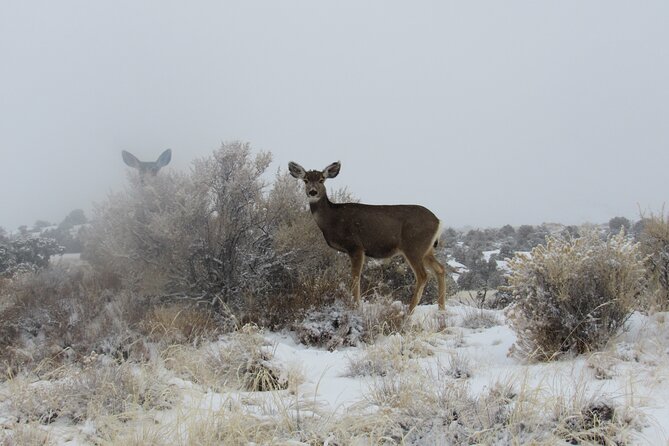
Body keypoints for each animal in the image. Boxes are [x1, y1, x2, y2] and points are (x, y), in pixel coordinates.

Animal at [290, 161, 446, 314]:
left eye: (322, 179)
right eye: (305, 180)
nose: (312, 192)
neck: (332, 220)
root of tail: (438, 221)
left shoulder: (356, 246)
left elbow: (355, 277)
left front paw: (355, 306)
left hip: (413, 246)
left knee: (423, 275)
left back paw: (409, 312)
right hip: (426, 250)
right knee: (440, 268)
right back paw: (441, 308)